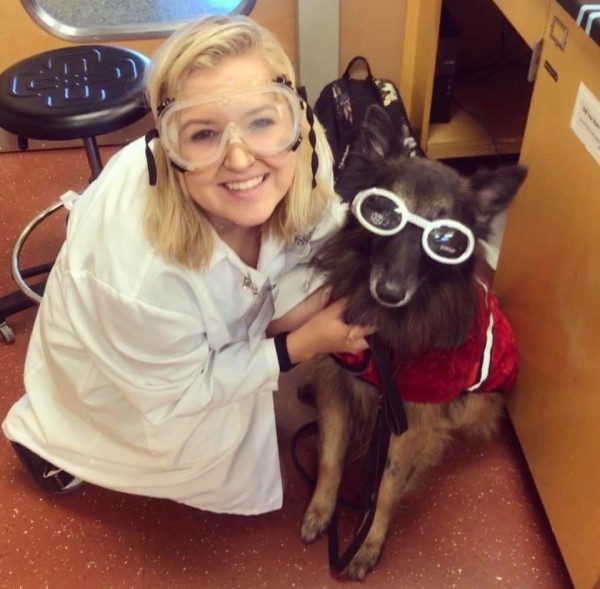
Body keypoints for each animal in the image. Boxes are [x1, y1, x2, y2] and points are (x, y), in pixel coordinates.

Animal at [300, 105, 524, 580]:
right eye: (381, 213)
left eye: (446, 240)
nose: (389, 292)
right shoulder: (338, 385)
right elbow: (330, 456)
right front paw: (321, 509)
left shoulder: (411, 420)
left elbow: (386, 488)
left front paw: (368, 542)